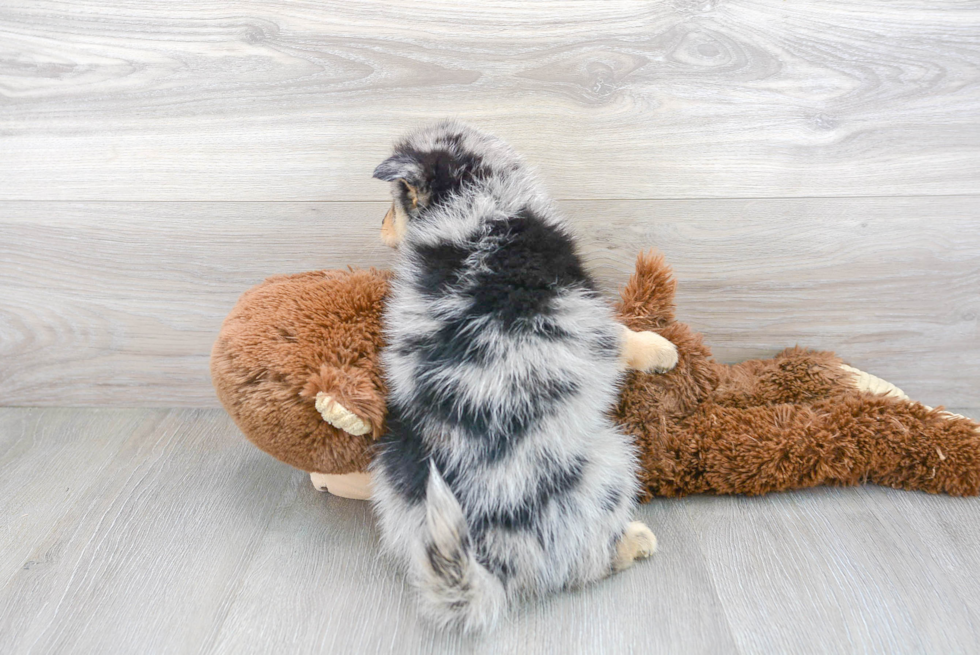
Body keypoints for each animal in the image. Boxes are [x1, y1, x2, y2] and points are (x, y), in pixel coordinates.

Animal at [372, 120, 676, 632]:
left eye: (394, 204)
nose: (378, 230)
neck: (476, 200)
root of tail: (490, 560)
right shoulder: (586, 310)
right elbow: (621, 333)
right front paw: (660, 349)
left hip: (393, 466)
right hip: (611, 462)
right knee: (584, 563)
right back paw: (633, 542)